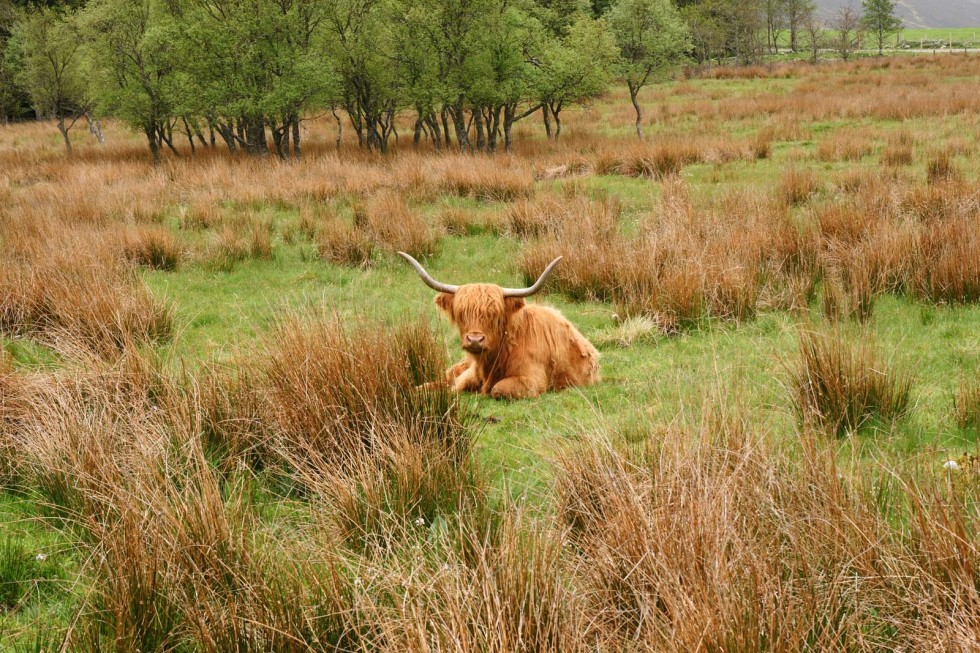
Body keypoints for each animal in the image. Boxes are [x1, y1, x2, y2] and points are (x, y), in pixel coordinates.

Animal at [396, 252, 596, 400]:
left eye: (494, 315)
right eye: (462, 313)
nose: (474, 340)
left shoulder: (533, 380)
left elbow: (498, 388)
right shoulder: (469, 374)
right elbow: (454, 387)